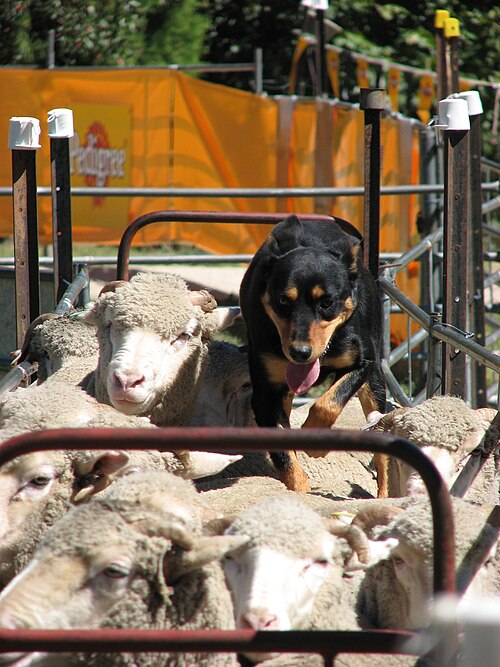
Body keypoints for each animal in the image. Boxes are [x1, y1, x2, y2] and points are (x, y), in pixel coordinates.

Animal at [238, 215, 386, 496]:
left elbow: (328, 403)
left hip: (375, 384)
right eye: (283, 301)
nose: (299, 352)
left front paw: (316, 442)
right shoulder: (264, 394)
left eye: (326, 303)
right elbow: (283, 453)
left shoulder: (364, 363)